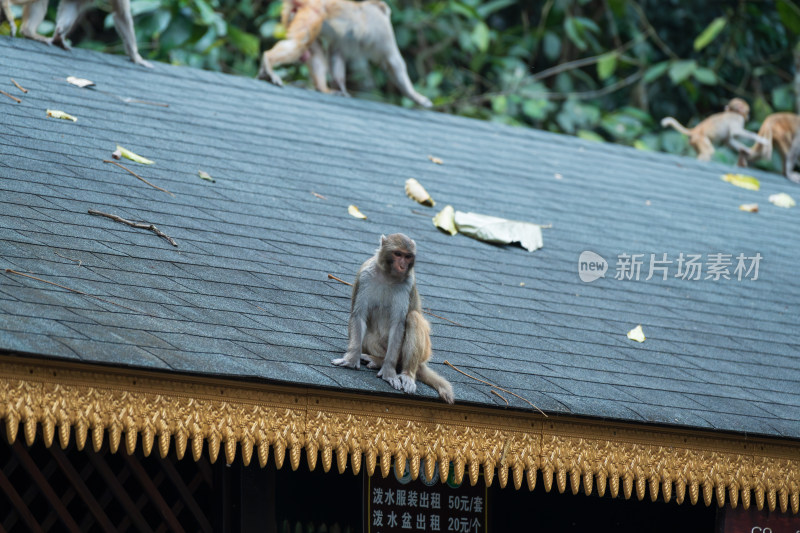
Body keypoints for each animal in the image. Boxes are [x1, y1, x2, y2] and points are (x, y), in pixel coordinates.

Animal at [256, 0, 432, 107]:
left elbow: (336, 54)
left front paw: (341, 88)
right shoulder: (383, 29)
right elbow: (394, 62)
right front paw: (416, 96)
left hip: (294, 16)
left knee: (312, 50)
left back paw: (323, 89)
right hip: (312, 12)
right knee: (300, 45)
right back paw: (268, 62)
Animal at [332, 233, 456, 404]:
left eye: (407, 256)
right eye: (398, 254)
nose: (402, 265)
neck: (388, 276)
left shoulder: (407, 283)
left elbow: (398, 324)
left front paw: (389, 372)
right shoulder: (365, 275)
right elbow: (359, 315)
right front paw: (351, 359)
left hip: (424, 352)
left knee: (413, 317)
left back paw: (406, 373)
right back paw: (377, 360)